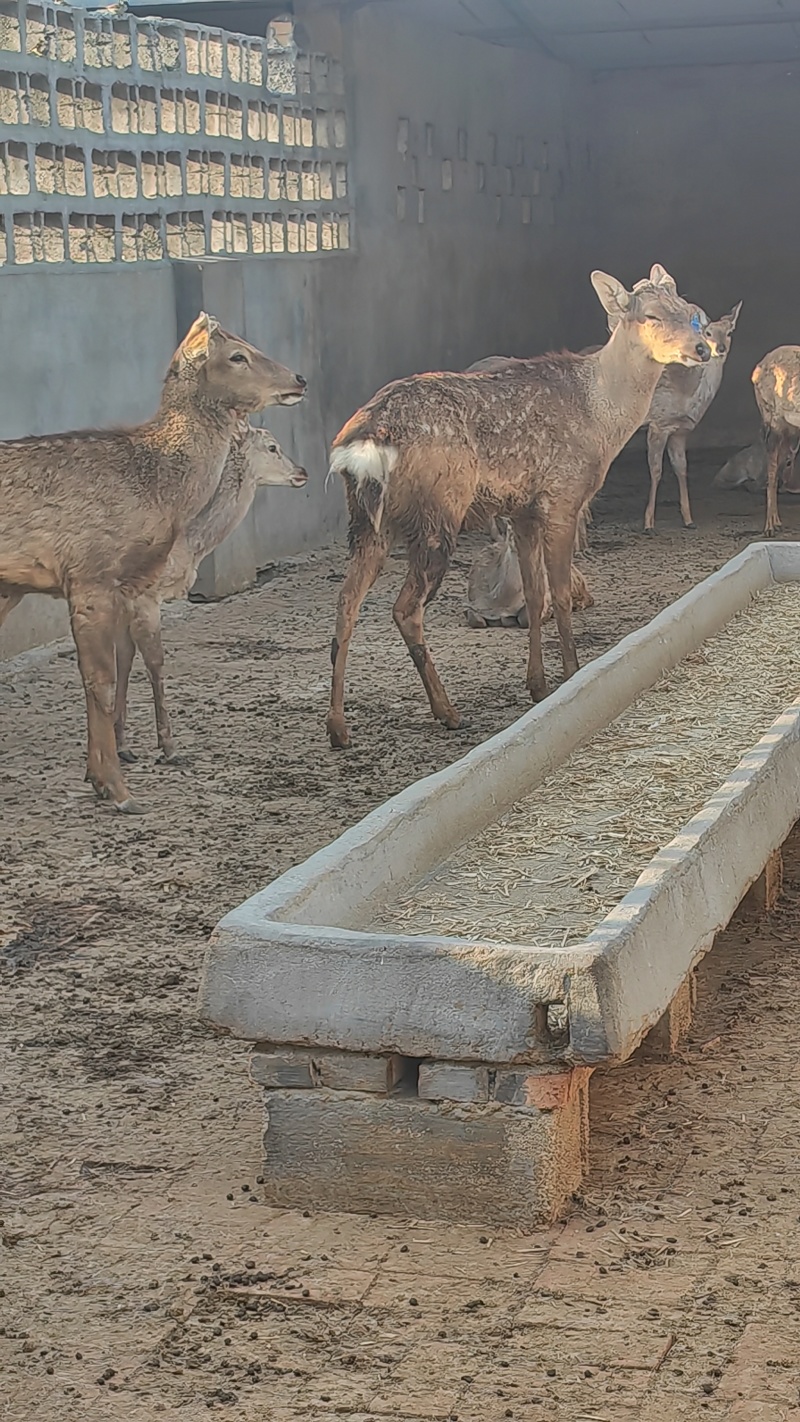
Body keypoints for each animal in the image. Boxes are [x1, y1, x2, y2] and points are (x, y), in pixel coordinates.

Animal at [113, 422, 307, 767]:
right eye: (272, 447)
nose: (301, 472)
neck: (189, 545)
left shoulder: (125, 597)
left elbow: (124, 658)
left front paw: (123, 747)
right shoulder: (146, 595)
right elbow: (155, 660)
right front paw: (170, 749)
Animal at [326, 264, 710, 749]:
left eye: (690, 311)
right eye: (653, 315)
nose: (702, 348)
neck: (602, 420)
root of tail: (361, 442)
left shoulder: (522, 510)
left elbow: (533, 592)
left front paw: (538, 686)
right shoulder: (562, 496)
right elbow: (560, 594)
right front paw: (571, 674)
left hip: (368, 520)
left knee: (346, 602)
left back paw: (338, 728)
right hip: (437, 512)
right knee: (405, 608)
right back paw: (447, 712)